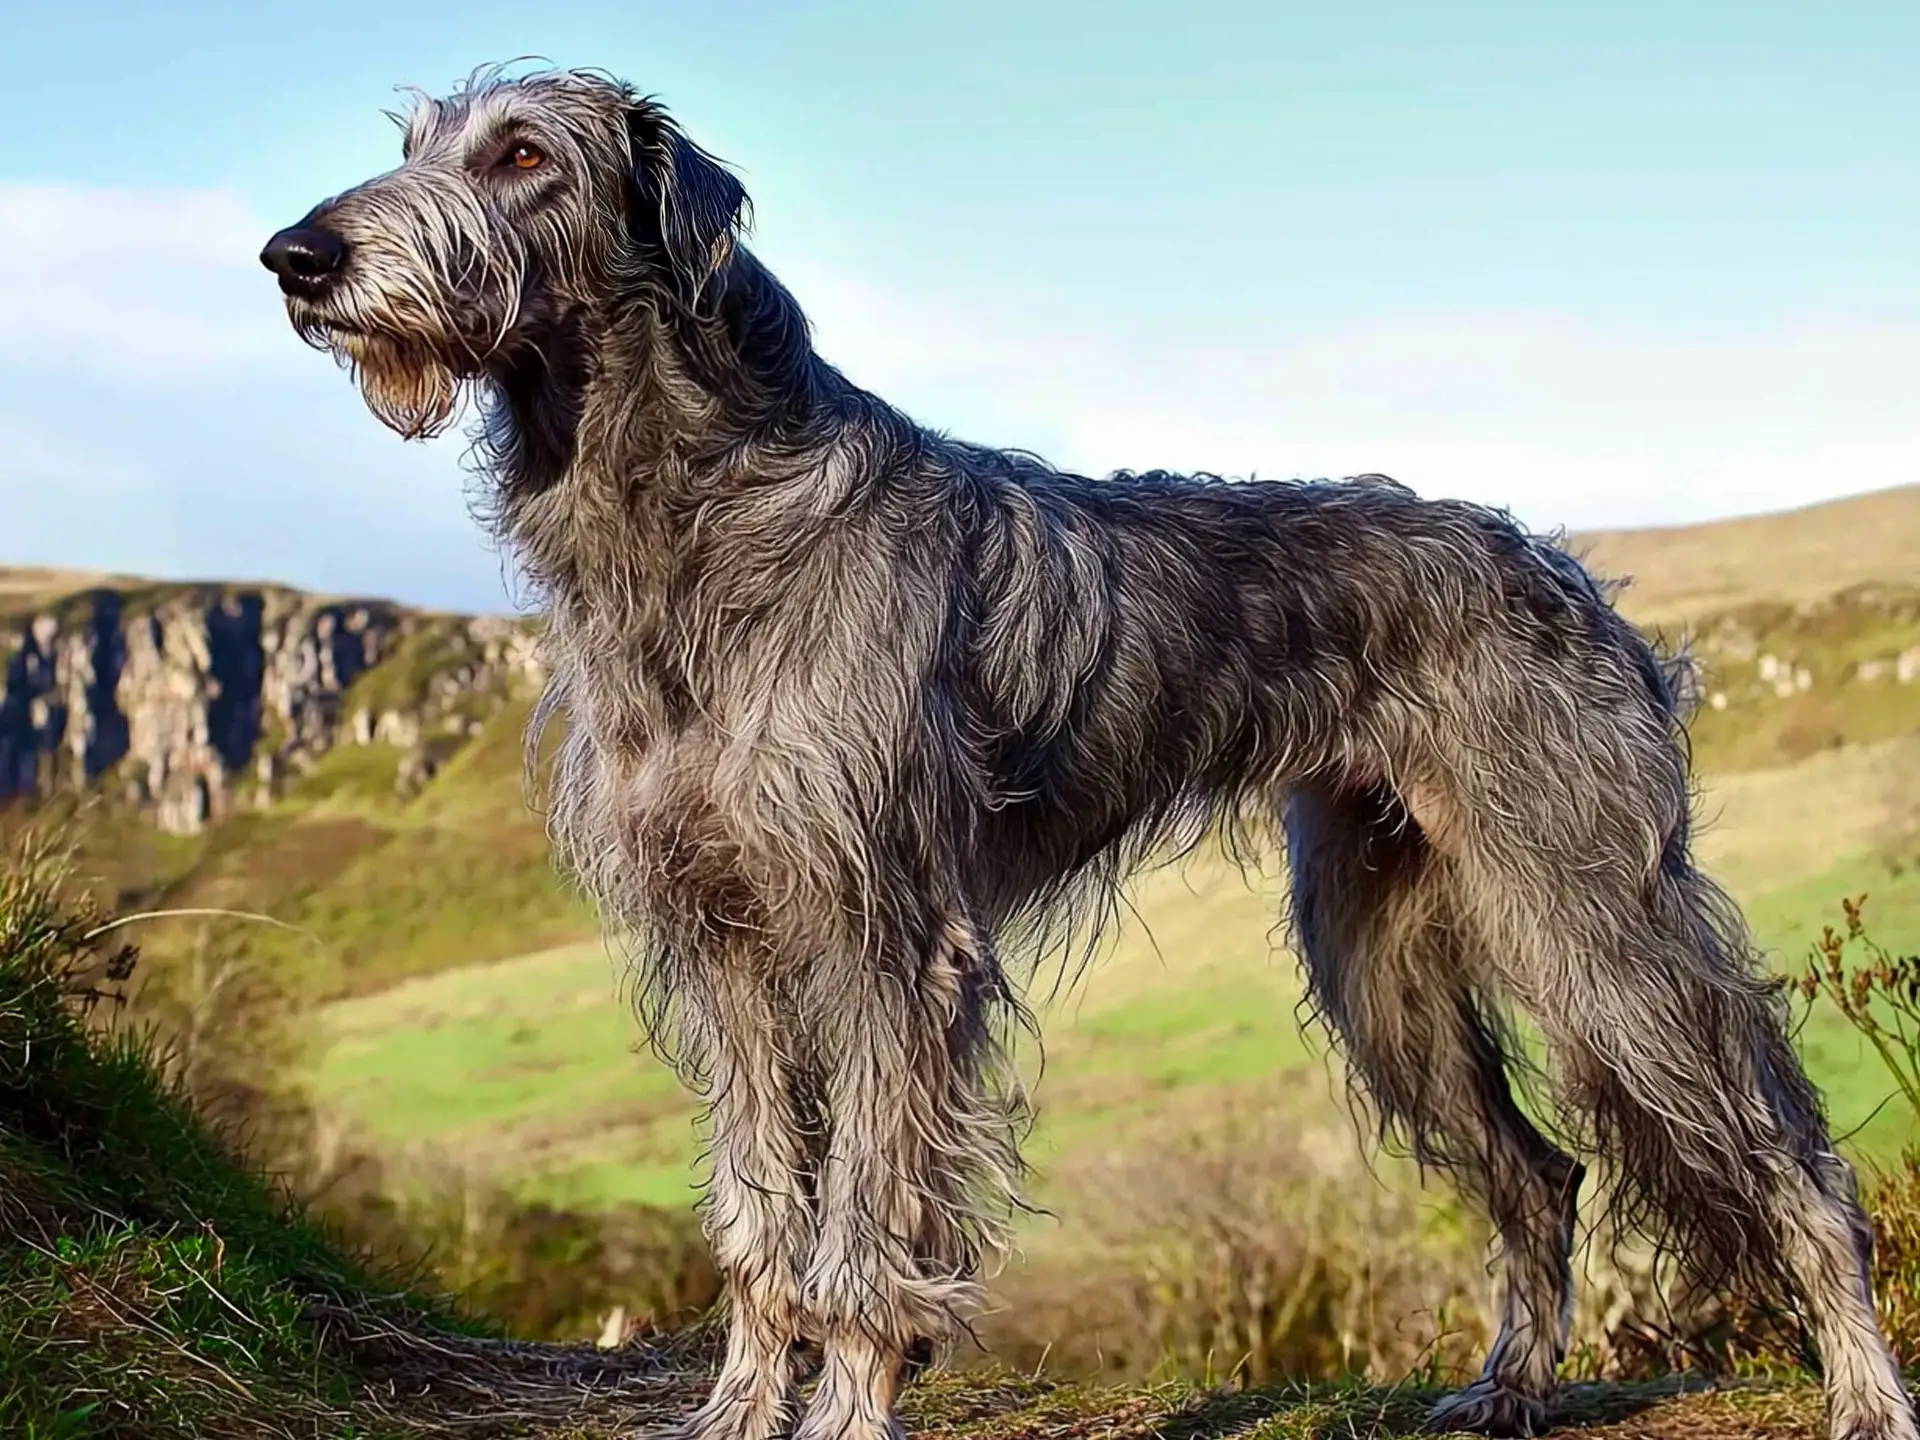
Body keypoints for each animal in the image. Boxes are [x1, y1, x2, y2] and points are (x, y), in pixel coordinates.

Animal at [263, 64, 1912, 1440]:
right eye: (411, 142)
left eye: (522, 153)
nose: (295, 256)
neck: (699, 522)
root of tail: (1568, 570)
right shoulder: (723, 941)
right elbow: (762, 1217)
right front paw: (735, 1415)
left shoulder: (889, 938)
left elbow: (866, 1238)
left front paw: (843, 1415)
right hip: (1378, 958)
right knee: (1541, 1174)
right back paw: (1508, 1392)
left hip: (1589, 924)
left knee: (1799, 1170)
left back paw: (1864, 1395)